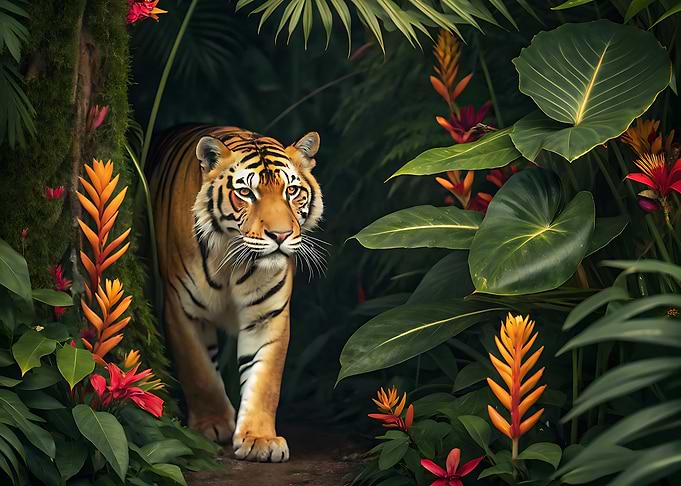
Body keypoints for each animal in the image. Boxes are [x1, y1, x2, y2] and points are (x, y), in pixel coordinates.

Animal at [148, 124, 324, 463]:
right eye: (245, 193)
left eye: (292, 191)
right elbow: (199, 371)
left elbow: (265, 380)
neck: (231, 258)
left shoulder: (268, 316)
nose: (281, 235)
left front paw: (259, 439)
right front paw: (211, 425)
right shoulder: (180, 309)